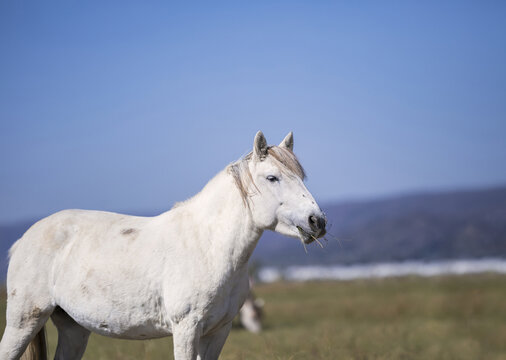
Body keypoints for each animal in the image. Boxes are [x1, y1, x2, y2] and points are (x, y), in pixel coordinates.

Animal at [0, 131, 328, 360]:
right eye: (272, 177)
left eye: (301, 176)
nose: (317, 221)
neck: (208, 245)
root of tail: (23, 240)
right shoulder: (186, 329)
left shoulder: (218, 332)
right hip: (24, 321)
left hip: (73, 329)